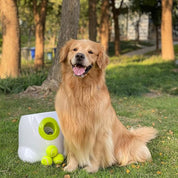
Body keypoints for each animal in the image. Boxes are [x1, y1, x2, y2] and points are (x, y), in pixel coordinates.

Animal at [55, 39, 157, 172]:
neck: (81, 91)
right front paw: (71, 166)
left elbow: (96, 153)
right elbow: (73, 151)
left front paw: (92, 168)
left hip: (123, 148)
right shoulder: (70, 128)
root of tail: (133, 135)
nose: (79, 56)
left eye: (90, 52)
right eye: (74, 49)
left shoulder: (99, 131)